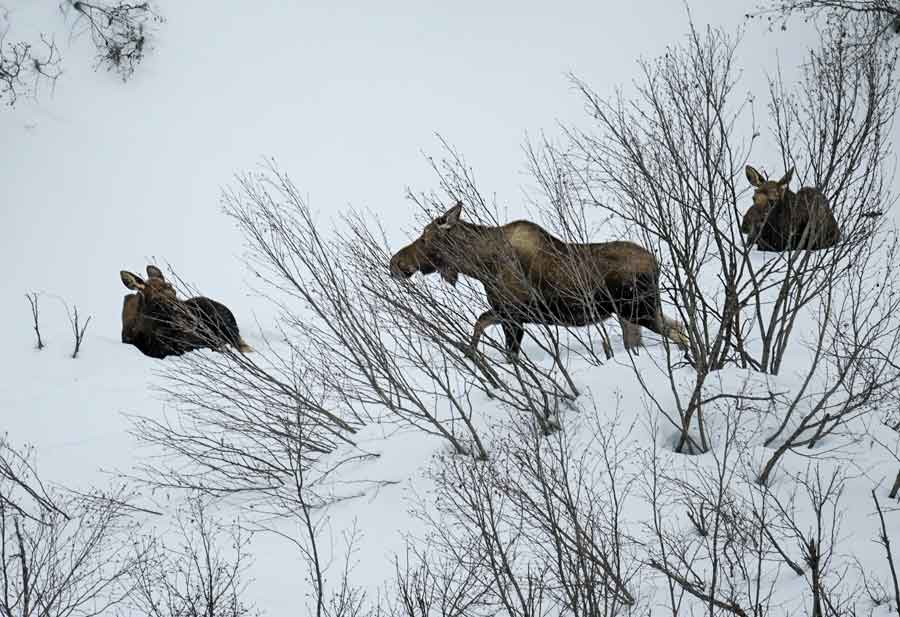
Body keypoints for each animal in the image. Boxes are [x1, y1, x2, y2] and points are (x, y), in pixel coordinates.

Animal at [388, 201, 688, 360]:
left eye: (425, 238)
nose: (395, 262)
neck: (480, 266)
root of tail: (656, 263)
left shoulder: (513, 317)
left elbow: (506, 351)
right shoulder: (506, 312)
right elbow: (480, 322)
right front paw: (472, 355)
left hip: (638, 310)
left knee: (677, 331)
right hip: (635, 313)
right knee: (676, 327)